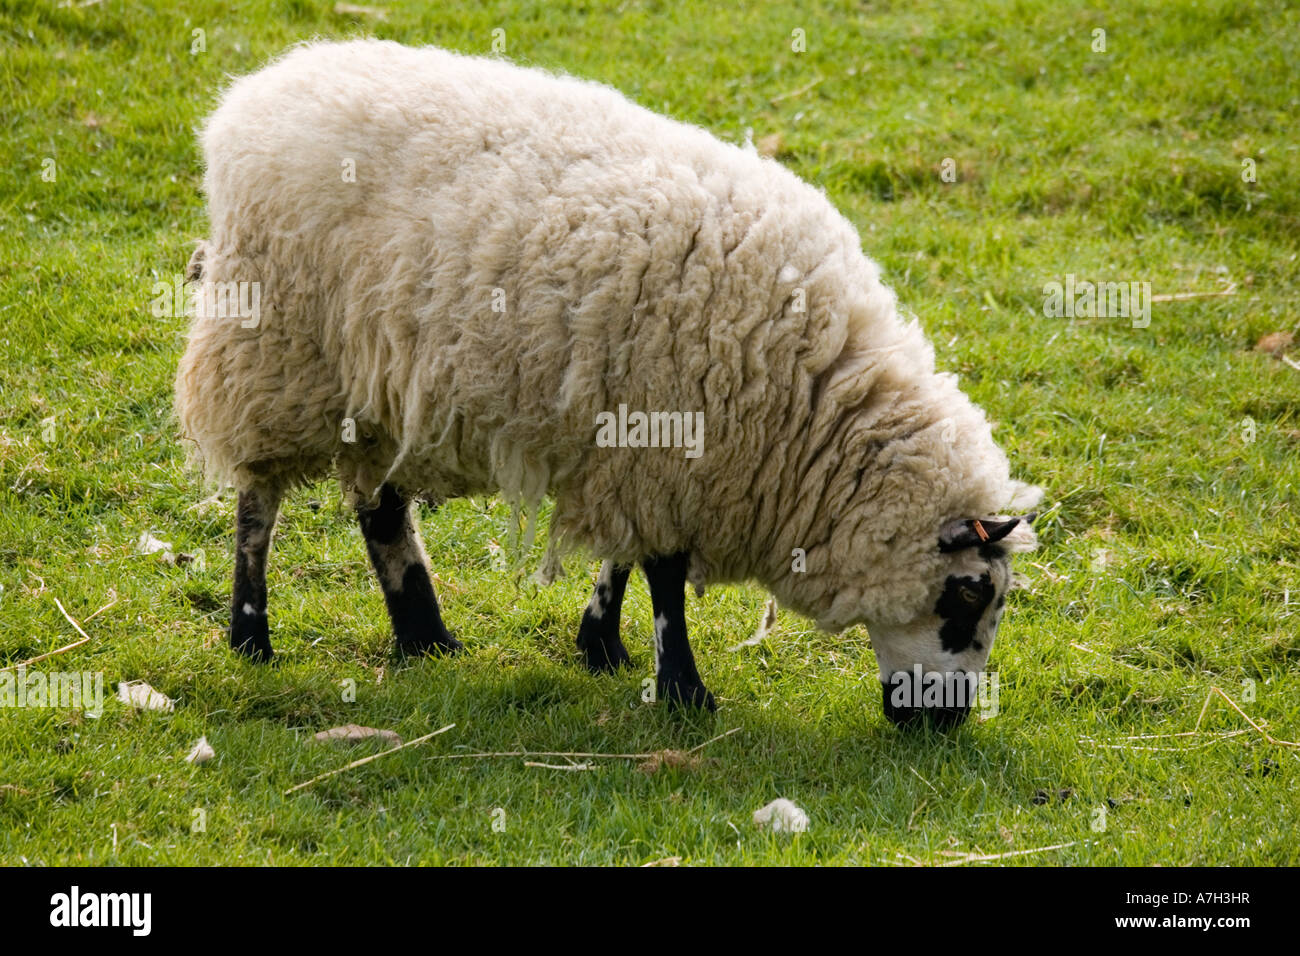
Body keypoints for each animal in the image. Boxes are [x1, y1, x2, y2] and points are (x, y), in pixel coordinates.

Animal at [175, 37, 1045, 723]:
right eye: (969, 595)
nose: (945, 722)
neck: (812, 405)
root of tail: (254, 95)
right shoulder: (667, 436)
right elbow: (664, 576)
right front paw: (683, 689)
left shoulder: (641, 443)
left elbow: (625, 558)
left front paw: (601, 643)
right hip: (275, 353)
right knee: (259, 500)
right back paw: (252, 634)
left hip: (375, 378)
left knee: (380, 506)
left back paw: (425, 635)